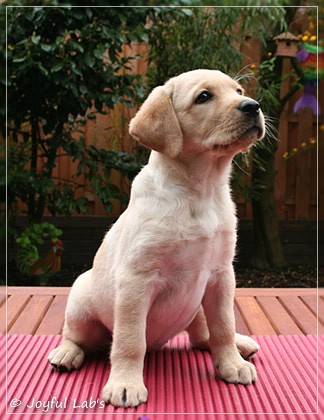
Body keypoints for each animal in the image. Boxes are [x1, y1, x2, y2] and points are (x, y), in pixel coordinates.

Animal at [48, 69, 266, 406]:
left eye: (239, 91)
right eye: (204, 97)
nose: (253, 106)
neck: (200, 190)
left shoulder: (221, 275)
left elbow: (224, 326)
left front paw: (231, 364)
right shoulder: (137, 281)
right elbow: (129, 340)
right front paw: (125, 384)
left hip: (197, 305)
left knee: (203, 335)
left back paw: (241, 345)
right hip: (82, 303)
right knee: (77, 336)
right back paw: (66, 353)